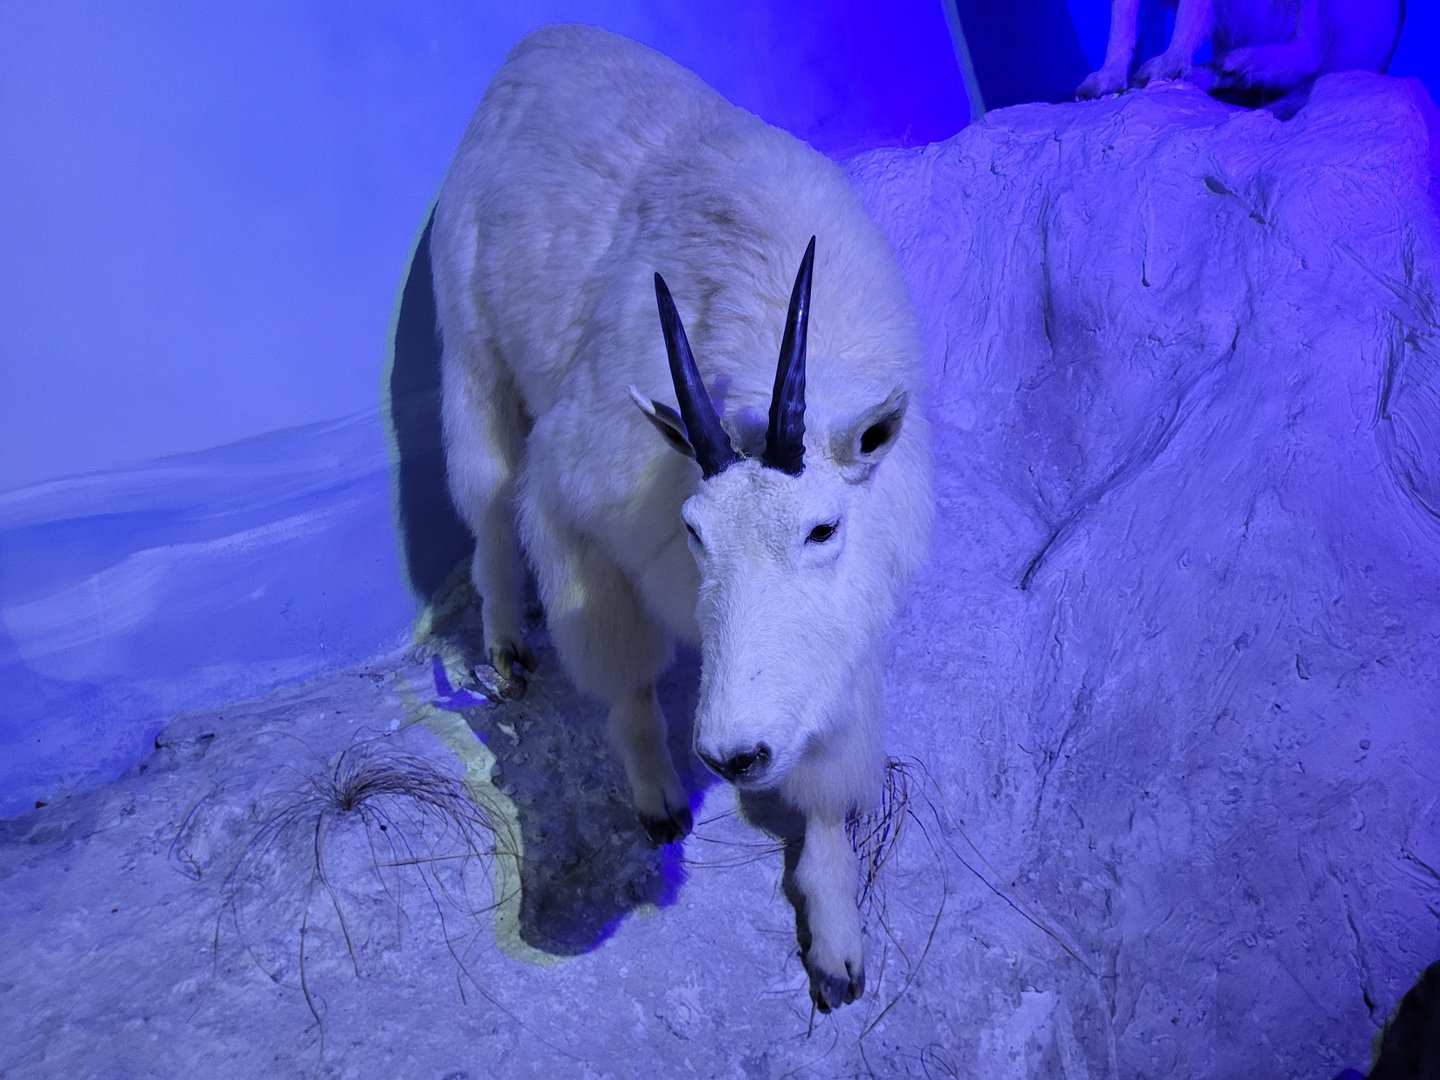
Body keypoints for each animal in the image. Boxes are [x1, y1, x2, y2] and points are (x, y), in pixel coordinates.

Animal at [431, 24, 931, 1010]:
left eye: (824, 529)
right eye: (696, 531)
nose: (735, 754)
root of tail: (534, 44)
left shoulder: (847, 628)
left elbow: (828, 785)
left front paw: (837, 947)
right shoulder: (579, 514)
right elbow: (624, 683)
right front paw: (660, 803)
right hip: (472, 352)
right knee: (487, 505)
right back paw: (506, 645)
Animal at [1076, 0, 1405, 109]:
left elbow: (1189, 15)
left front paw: (1170, 63)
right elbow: (1121, 26)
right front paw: (1107, 79)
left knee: (1314, 50)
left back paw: (1246, 62)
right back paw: (1211, 74)